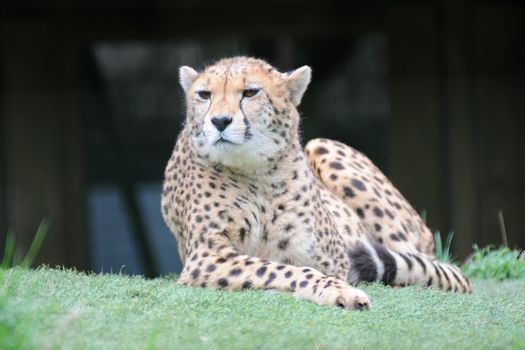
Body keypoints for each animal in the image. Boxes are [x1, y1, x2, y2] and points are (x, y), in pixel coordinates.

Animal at [161, 58, 470, 312]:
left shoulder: (336, 260)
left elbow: (292, 268)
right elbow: (278, 269)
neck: (256, 171)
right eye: (205, 95)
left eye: (250, 92)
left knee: (435, 268)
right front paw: (336, 292)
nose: (220, 121)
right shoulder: (205, 256)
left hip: (323, 146)